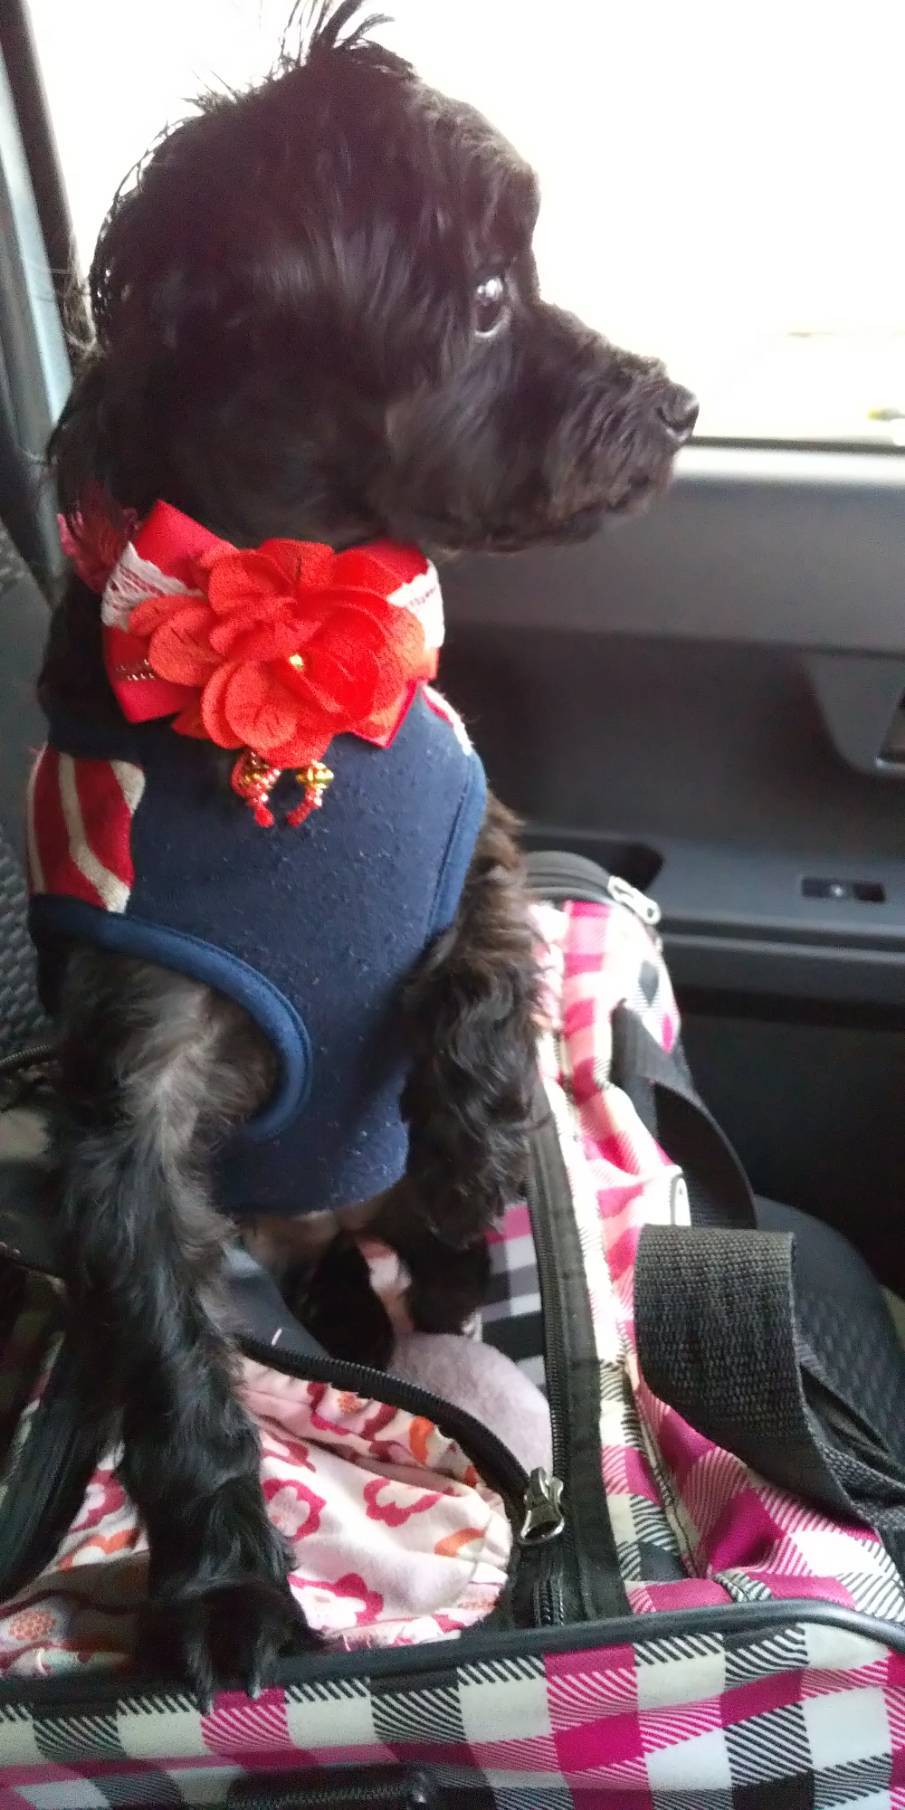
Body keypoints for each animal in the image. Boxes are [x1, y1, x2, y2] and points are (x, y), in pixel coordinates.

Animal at [34, 0, 696, 1700]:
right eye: (486, 301)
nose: (674, 401)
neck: (290, 625)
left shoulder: (480, 845)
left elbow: (480, 992)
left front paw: (465, 1164)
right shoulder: (133, 1094)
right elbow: (174, 1347)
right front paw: (221, 1592)